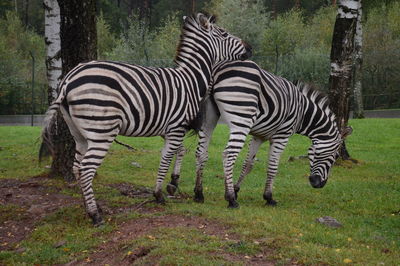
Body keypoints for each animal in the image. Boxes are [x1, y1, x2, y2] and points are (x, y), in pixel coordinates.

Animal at [41, 12, 253, 224]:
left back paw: (89, 207)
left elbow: (179, 151)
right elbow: (166, 157)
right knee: (86, 169)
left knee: (77, 167)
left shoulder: (168, 128)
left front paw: (171, 184)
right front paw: (159, 195)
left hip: (79, 133)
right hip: (102, 131)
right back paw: (95, 215)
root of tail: (69, 79)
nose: (250, 48)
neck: (190, 79)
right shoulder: (176, 127)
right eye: (224, 34)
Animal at [167, 60, 352, 208]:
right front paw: (268, 197)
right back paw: (231, 200)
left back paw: (199, 194)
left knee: (201, 153)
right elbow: (272, 166)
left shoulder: (259, 136)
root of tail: (218, 69)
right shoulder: (282, 136)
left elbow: (248, 164)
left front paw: (236, 189)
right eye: (335, 157)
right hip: (241, 119)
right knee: (228, 154)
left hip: (210, 117)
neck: (302, 113)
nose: (318, 184)